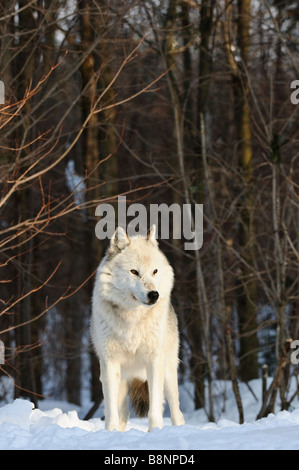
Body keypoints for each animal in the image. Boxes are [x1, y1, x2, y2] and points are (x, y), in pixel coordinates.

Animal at [90, 226, 186, 432]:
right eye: (134, 272)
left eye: (155, 271)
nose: (154, 295)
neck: (132, 319)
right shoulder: (109, 365)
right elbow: (111, 412)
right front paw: (110, 433)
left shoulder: (154, 362)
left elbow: (155, 410)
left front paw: (155, 431)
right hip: (122, 381)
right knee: (123, 414)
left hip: (168, 373)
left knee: (177, 413)